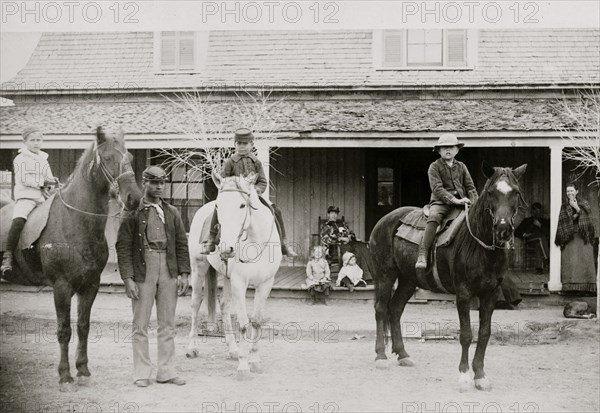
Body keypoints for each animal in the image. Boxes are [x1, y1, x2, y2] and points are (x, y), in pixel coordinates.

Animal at [0, 127, 141, 392]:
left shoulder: (90, 285)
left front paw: (83, 371)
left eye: (129, 157)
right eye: (108, 158)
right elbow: (64, 330)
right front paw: (65, 376)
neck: (74, 221)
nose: (134, 199)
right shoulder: (62, 287)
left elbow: (83, 327)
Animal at [186, 172, 282, 378]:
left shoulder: (265, 284)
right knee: (196, 304)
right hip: (198, 268)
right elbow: (244, 323)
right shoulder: (240, 283)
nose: (225, 248)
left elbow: (256, 322)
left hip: (227, 278)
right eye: (219, 206)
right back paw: (192, 348)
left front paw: (254, 360)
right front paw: (244, 366)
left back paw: (233, 350)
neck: (255, 241)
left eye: (242, 205)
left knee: (224, 306)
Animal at [368, 163, 528, 392]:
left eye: (515, 192)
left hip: (408, 281)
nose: (503, 229)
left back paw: (403, 355)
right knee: (381, 310)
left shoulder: (490, 294)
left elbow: (484, 333)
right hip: (385, 276)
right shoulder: (463, 293)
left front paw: (480, 376)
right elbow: (466, 334)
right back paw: (380, 356)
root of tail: (384, 221)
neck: (477, 244)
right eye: (491, 192)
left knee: (395, 309)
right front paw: (464, 376)